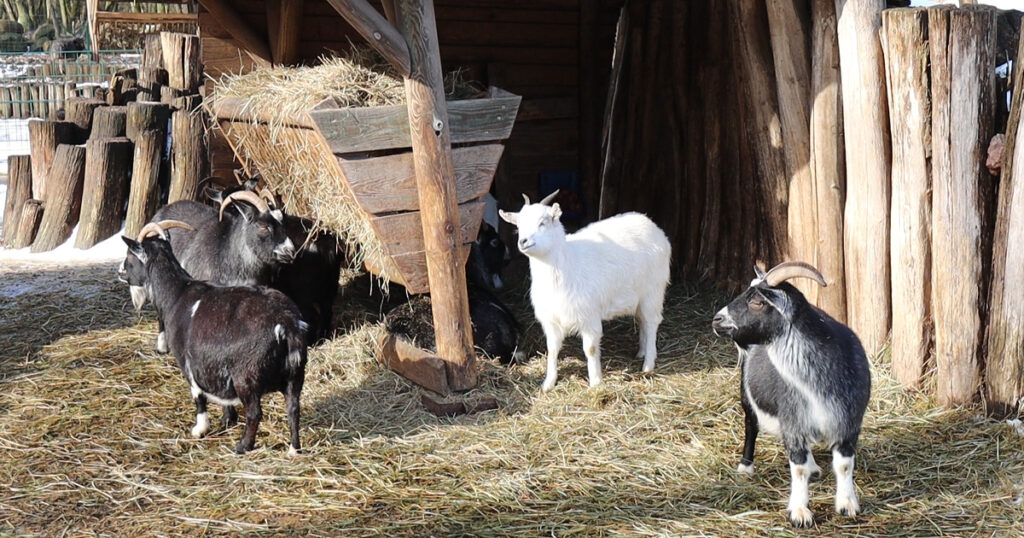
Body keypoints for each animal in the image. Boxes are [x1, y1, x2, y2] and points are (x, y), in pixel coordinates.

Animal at [120, 219, 307, 452]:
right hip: (295, 374)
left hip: (246, 376)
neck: (177, 293)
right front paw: (227, 419)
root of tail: (287, 323)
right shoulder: (214, 366)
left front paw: (200, 429)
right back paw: (294, 449)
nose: (120, 272)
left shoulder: (188, 362)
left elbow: (198, 396)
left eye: (130, 256)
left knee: (255, 412)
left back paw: (243, 447)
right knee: (293, 408)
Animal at [497, 190, 671, 391]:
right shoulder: (551, 319)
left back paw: (648, 364)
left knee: (651, 322)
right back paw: (641, 352)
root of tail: (652, 226)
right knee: (642, 321)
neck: (567, 264)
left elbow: (591, 349)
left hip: (653, 291)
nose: (523, 242)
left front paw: (595, 382)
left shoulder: (589, 316)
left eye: (543, 222)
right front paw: (548, 383)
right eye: (518, 226)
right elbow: (552, 350)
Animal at [712, 262, 872, 524]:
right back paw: (746, 467)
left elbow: (844, 465)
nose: (718, 320)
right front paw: (799, 512)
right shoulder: (792, 421)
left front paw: (847, 505)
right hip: (747, 395)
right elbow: (797, 467)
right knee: (750, 425)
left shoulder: (848, 422)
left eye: (757, 301)